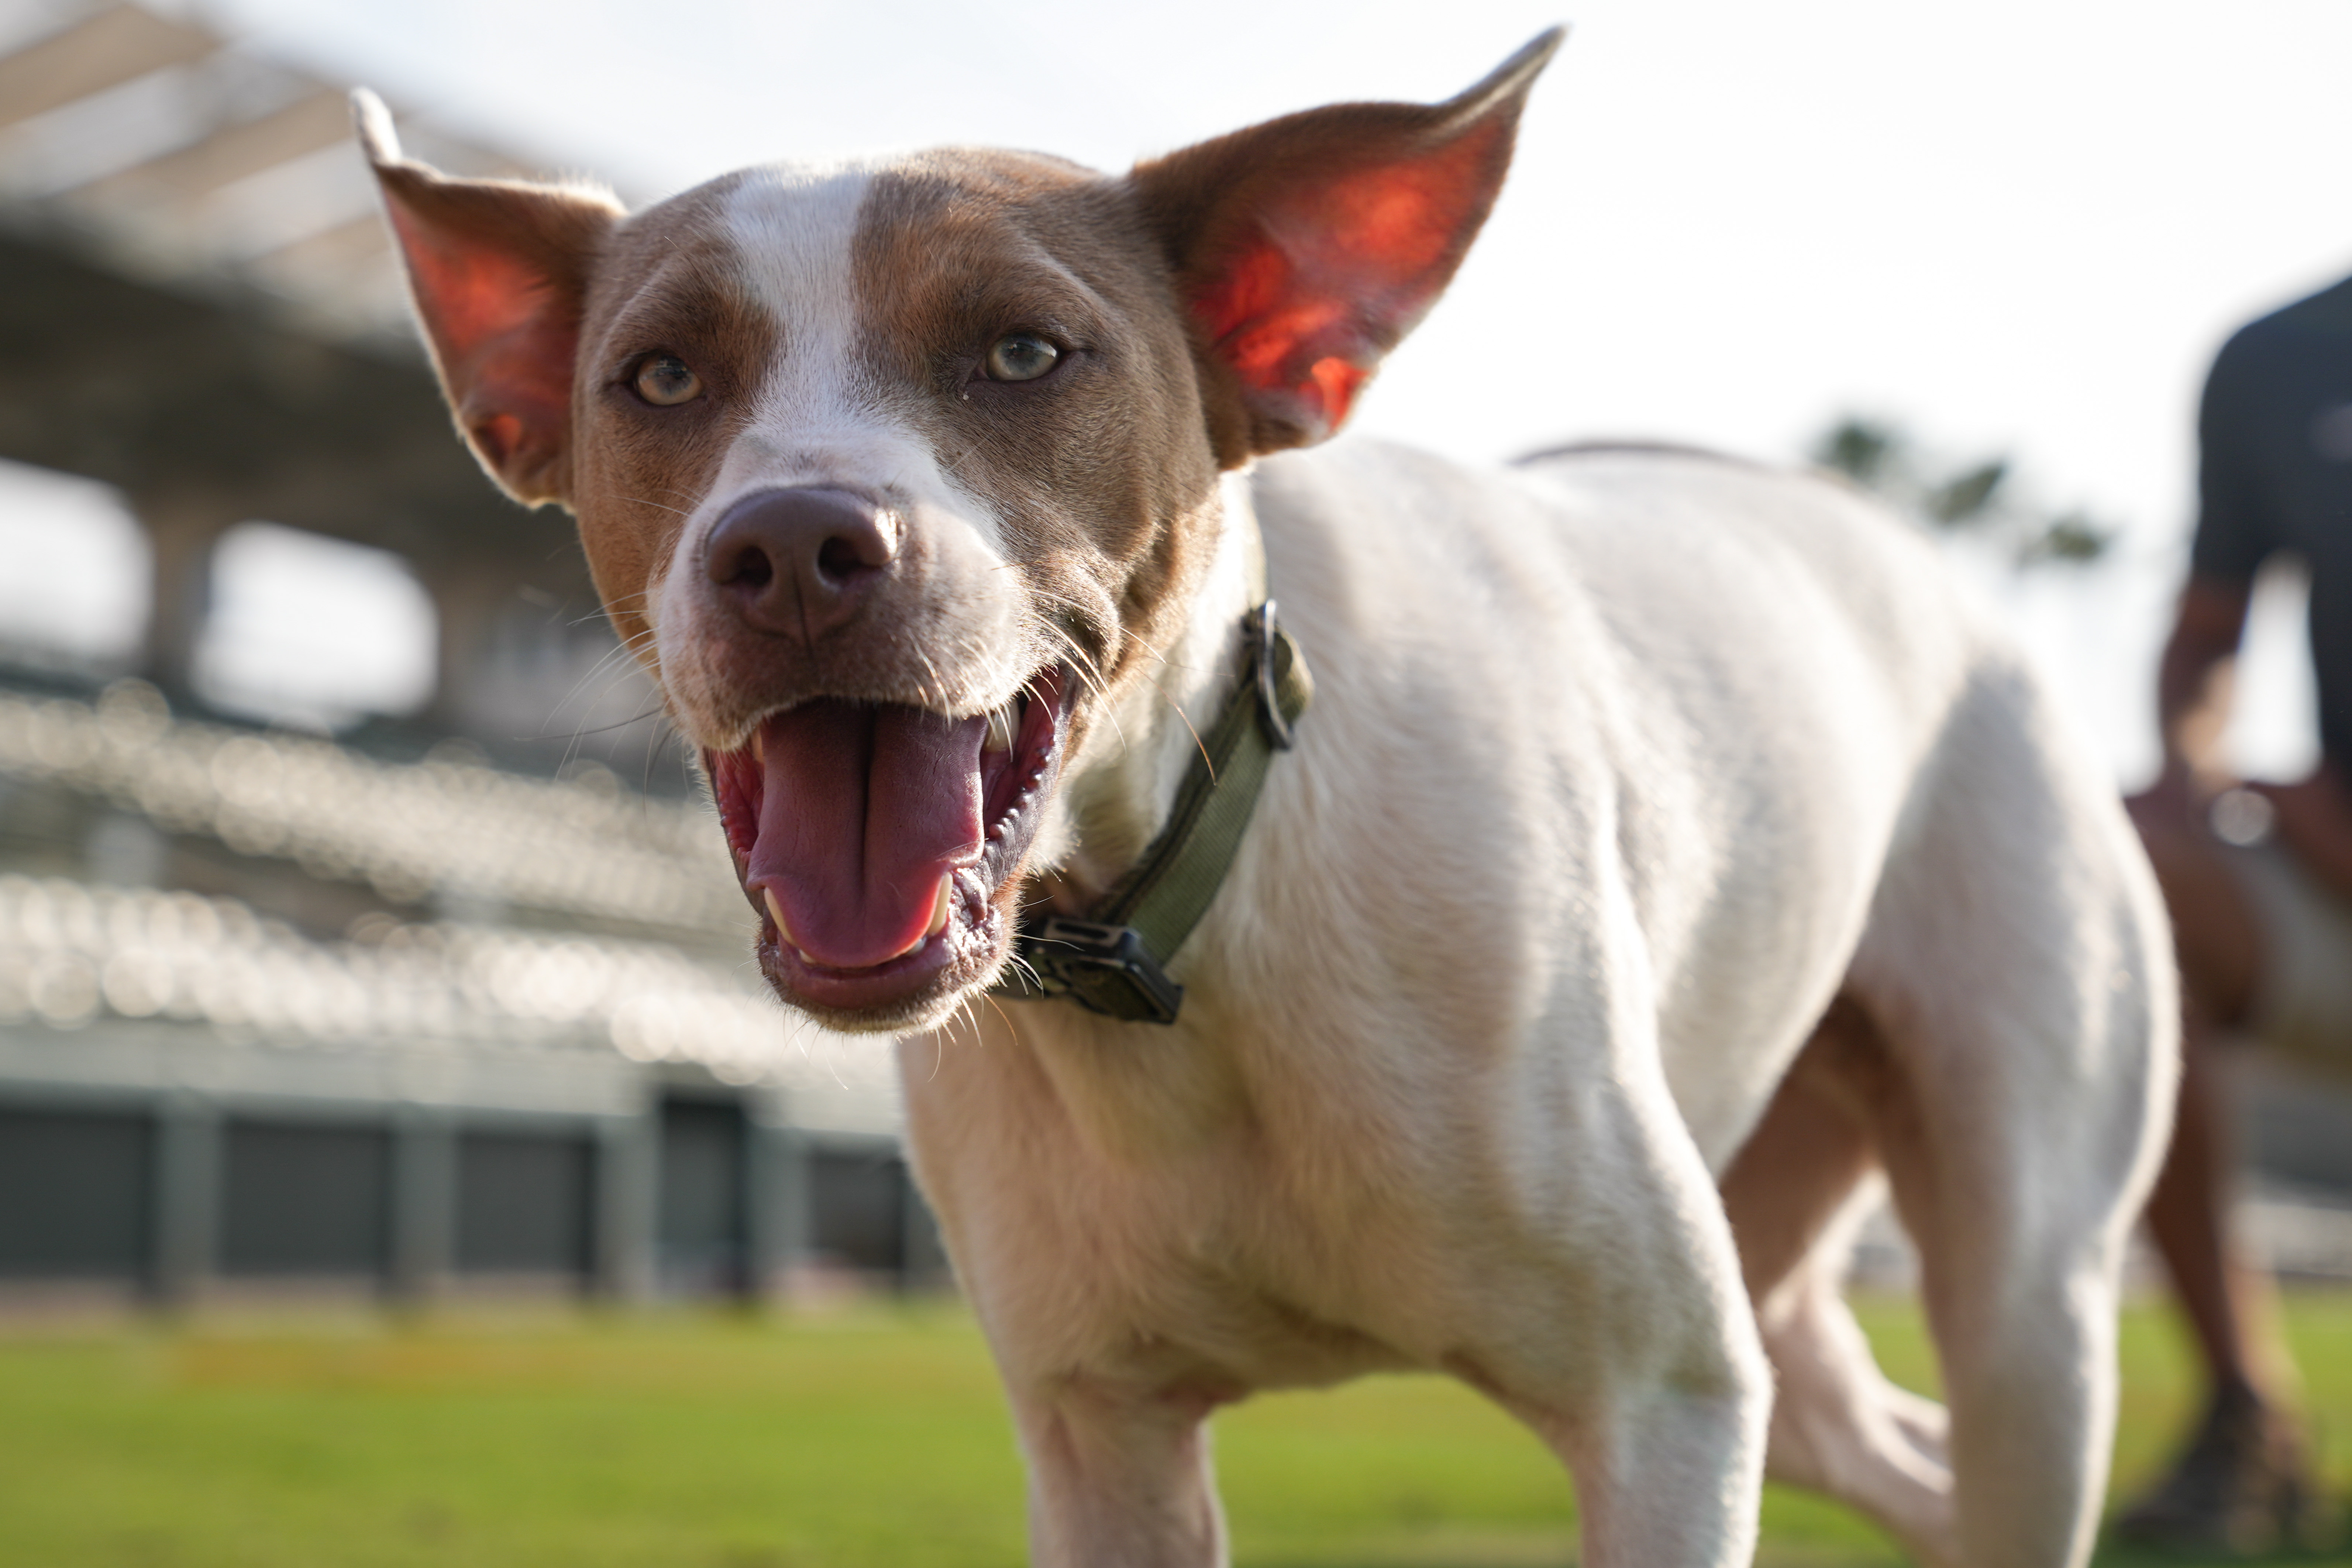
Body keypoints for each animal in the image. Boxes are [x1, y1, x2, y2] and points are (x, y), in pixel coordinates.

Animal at [357, 37, 2173, 1568]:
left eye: (1023, 349)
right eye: (662, 377)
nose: (796, 546)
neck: (1183, 933)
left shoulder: (1661, 1400)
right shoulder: (1101, 1437)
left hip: (2027, 1284)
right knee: (1895, 1450)